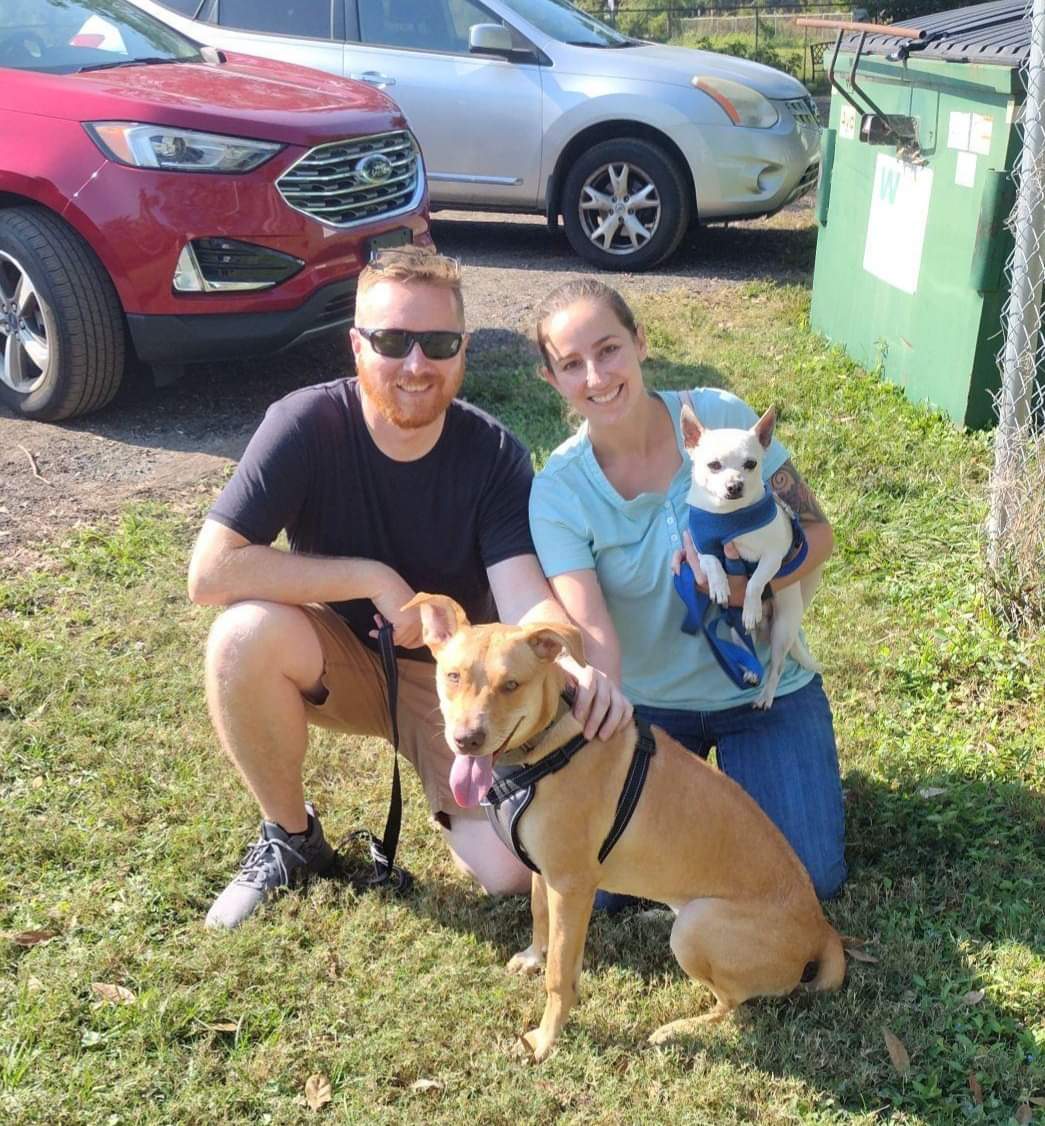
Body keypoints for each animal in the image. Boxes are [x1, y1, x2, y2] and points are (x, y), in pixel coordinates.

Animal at [403, 594, 846, 1058]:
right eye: (453, 676)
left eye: (511, 685)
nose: (466, 740)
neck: (545, 745)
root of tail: (822, 930)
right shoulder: (544, 872)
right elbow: (539, 916)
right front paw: (532, 957)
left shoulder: (571, 886)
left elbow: (559, 976)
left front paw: (545, 1038)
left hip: (697, 927)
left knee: (730, 1004)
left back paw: (678, 1029)